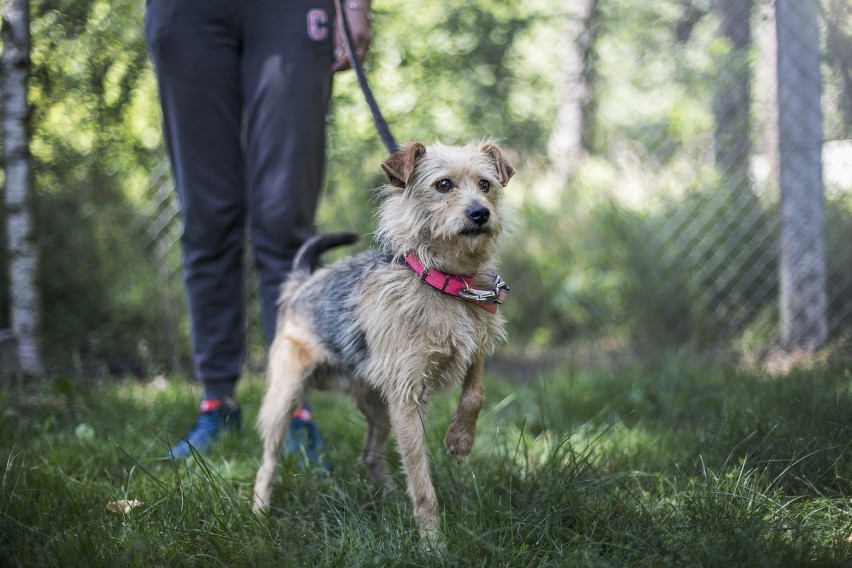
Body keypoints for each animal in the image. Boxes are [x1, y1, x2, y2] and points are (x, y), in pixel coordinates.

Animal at [253, 141, 516, 540]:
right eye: (443, 185)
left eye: (485, 184)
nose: (480, 213)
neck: (444, 281)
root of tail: (302, 282)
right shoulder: (406, 395)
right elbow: (422, 483)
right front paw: (432, 542)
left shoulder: (474, 348)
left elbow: (475, 393)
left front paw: (460, 440)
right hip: (286, 396)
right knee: (268, 461)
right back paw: (259, 512)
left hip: (379, 406)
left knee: (371, 455)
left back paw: (391, 498)